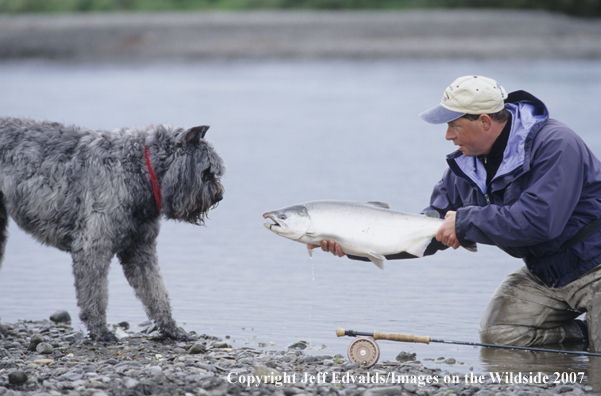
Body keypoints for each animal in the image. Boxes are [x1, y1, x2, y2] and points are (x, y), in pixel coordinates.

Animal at [0, 116, 224, 342]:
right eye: (206, 172)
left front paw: (171, 328)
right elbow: (95, 293)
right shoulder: (94, 246)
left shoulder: (140, 248)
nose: (220, 195)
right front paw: (100, 330)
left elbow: (155, 291)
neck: (137, 168)